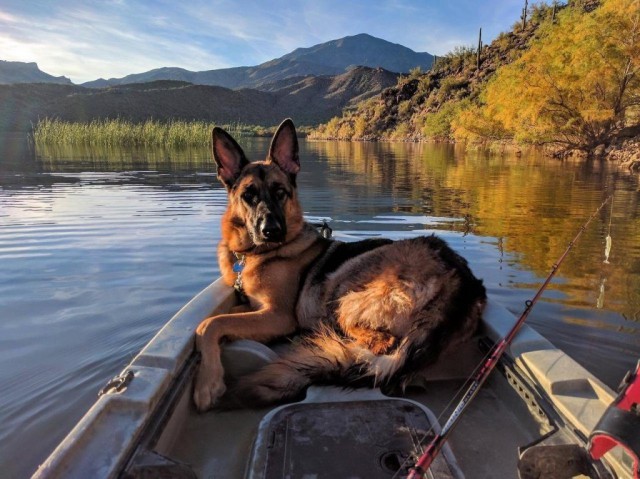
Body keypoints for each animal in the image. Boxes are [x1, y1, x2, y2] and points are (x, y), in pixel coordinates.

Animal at [192, 120, 488, 412]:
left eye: (280, 192)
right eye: (248, 195)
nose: (272, 231)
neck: (255, 254)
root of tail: (461, 282)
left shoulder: (278, 315)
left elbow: (209, 324)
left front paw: (207, 383)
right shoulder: (255, 307)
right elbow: (223, 318)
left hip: (343, 290)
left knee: (376, 341)